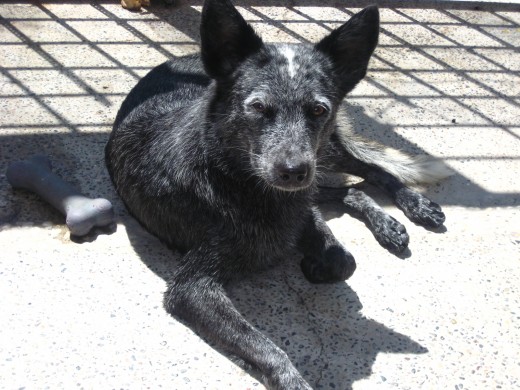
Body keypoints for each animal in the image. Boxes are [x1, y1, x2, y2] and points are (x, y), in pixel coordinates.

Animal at [105, 2, 450, 386]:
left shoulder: (302, 206)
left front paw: (319, 260)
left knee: (370, 171)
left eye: (318, 109)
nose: (293, 171)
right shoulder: (191, 288)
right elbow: (266, 347)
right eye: (258, 107)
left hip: (325, 152)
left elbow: (344, 259)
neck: (233, 178)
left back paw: (411, 206)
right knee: (348, 190)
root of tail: (188, 55)